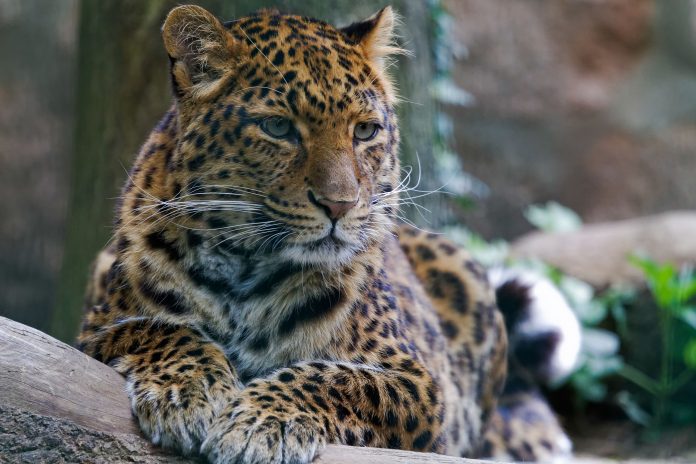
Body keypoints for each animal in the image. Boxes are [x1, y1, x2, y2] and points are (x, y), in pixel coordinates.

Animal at [78, 5, 572, 463]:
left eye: (365, 131)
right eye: (278, 127)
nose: (340, 204)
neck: (245, 268)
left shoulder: (418, 384)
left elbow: (336, 378)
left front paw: (261, 424)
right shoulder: (95, 330)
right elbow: (159, 329)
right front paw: (187, 392)